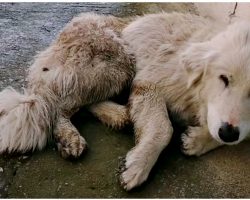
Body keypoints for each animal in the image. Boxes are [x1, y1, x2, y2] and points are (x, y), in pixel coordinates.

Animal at [0, 11, 250, 190]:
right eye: (224, 78)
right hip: (119, 63)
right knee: (59, 106)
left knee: (84, 102)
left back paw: (120, 116)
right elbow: (163, 128)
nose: (228, 132)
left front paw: (197, 141)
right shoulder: (149, 84)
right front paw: (138, 166)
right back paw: (71, 137)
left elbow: (235, 135)